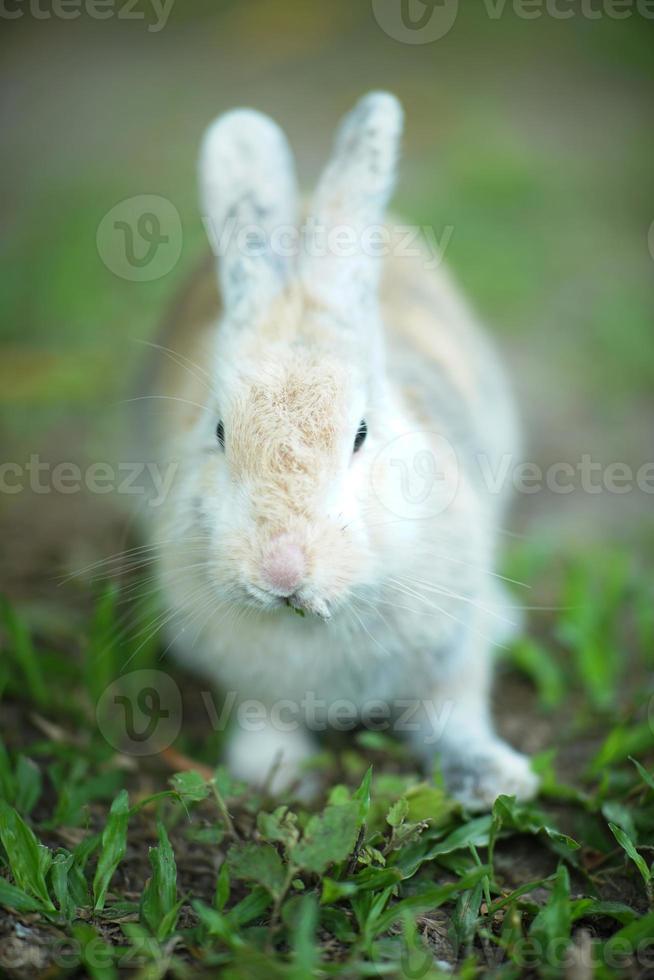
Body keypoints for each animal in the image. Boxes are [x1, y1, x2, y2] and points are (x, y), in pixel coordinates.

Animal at [144, 92, 544, 812]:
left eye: (360, 434)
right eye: (218, 432)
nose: (281, 570)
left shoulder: (452, 653)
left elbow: (455, 711)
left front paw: (496, 780)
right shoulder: (250, 681)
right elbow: (262, 715)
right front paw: (277, 774)